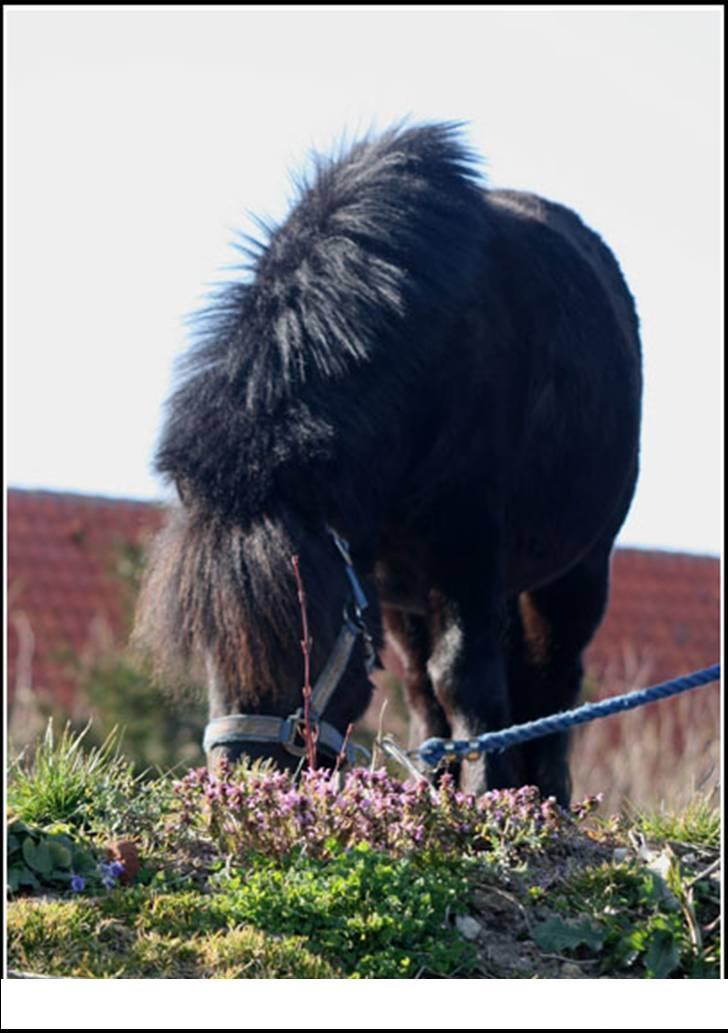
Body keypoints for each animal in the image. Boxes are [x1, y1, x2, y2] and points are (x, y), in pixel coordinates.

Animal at [133, 118, 640, 797]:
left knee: (552, 677)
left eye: (306, 625)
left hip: (576, 570)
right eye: (213, 640)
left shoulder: (469, 549)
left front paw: (490, 794)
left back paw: (546, 792)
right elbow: (430, 689)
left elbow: (465, 678)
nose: (246, 778)